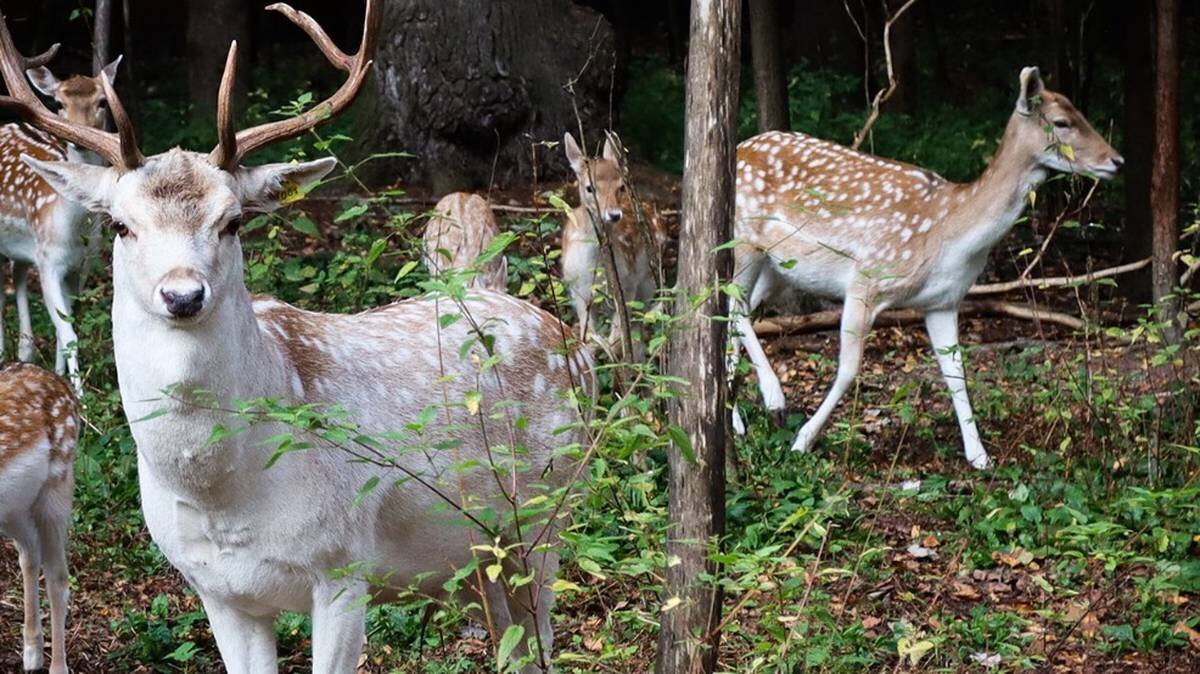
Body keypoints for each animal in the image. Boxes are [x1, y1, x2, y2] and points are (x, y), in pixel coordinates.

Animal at [0, 56, 123, 393]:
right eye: (57, 102)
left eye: (102, 101)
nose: (76, 136)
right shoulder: (50, 262)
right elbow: (68, 333)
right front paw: (80, 395)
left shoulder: (82, 265)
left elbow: (65, 327)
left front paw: (59, 376)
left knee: (17, 275)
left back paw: (25, 350)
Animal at [0, 364, 79, 671]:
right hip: (15, 507)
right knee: (30, 554)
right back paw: (32, 654)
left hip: (57, 486)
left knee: (58, 576)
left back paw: (57, 667)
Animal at [559, 133, 657, 359]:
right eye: (590, 188)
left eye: (620, 187)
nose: (614, 214)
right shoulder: (577, 290)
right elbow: (588, 338)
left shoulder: (627, 284)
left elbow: (617, 341)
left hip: (647, 282)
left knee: (638, 334)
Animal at [729, 66, 1123, 467]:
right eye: (1061, 122)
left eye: (1080, 112)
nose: (1117, 161)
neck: (948, 235)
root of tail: (740, 146)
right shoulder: (867, 278)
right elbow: (849, 370)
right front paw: (803, 440)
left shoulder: (943, 302)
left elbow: (957, 376)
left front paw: (980, 457)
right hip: (744, 240)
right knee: (730, 302)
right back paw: (773, 400)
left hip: (777, 269)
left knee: (733, 309)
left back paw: (737, 420)